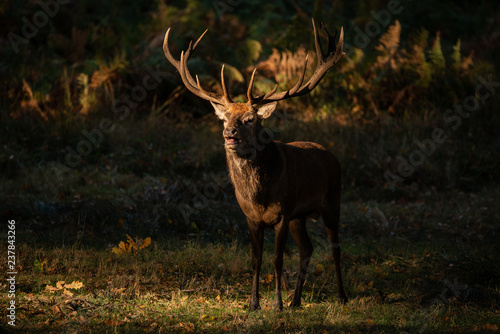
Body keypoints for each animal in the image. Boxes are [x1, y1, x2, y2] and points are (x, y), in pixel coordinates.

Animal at [164, 18, 348, 310]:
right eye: (224, 117)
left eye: (250, 119)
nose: (229, 133)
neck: (260, 195)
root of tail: (330, 154)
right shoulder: (252, 217)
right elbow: (256, 260)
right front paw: (253, 304)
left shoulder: (282, 214)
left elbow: (277, 260)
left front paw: (277, 304)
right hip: (300, 216)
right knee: (307, 249)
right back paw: (297, 301)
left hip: (332, 202)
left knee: (335, 249)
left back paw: (341, 297)